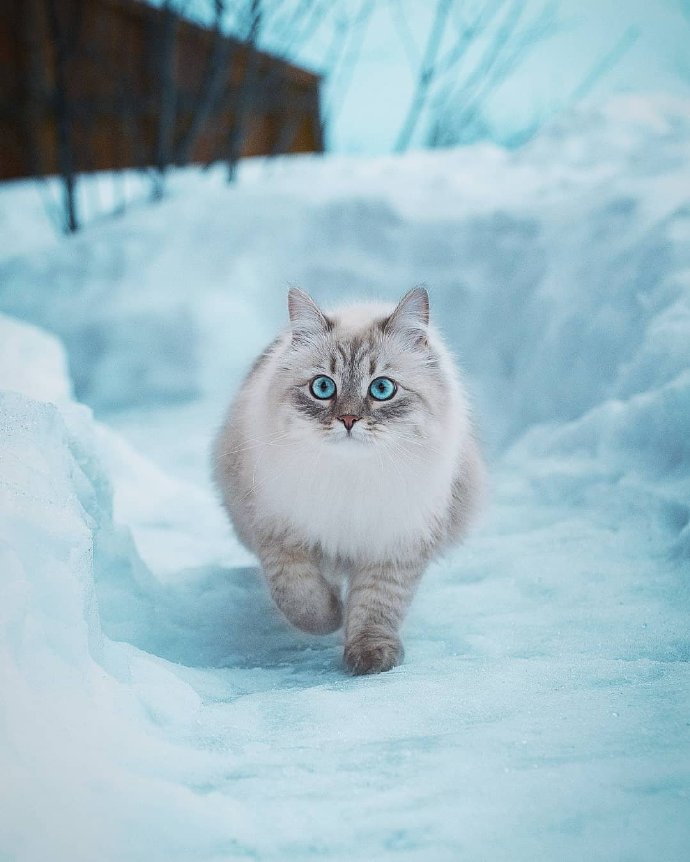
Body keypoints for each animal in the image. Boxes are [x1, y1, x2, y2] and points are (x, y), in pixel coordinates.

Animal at [212, 290, 482, 676]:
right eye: (323, 387)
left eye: (381, 389)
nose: (349, 419)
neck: (352, 476)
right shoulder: (278, 532)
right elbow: (301, 599)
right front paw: (333, 616)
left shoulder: (395, 545)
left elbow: (375, 608)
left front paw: (371, 659)